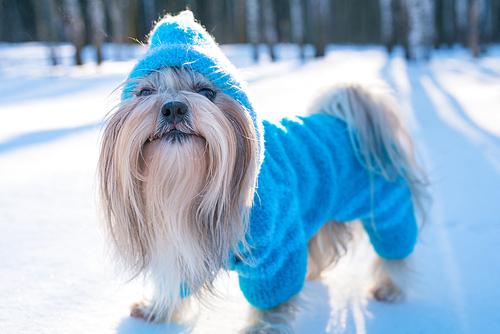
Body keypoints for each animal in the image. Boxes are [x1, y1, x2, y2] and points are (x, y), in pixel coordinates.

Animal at [97, 10, 426, 334]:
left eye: (207, 92)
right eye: (145, 92)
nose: (174, 107)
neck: (188, 183)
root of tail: (348, 123)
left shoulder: (275, 251)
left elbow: (271, 302)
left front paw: (261, 329)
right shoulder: (179, 243)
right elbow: (176, 283)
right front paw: (157, 310)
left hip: (386, 208)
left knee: (395, 248)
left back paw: (389, 288)